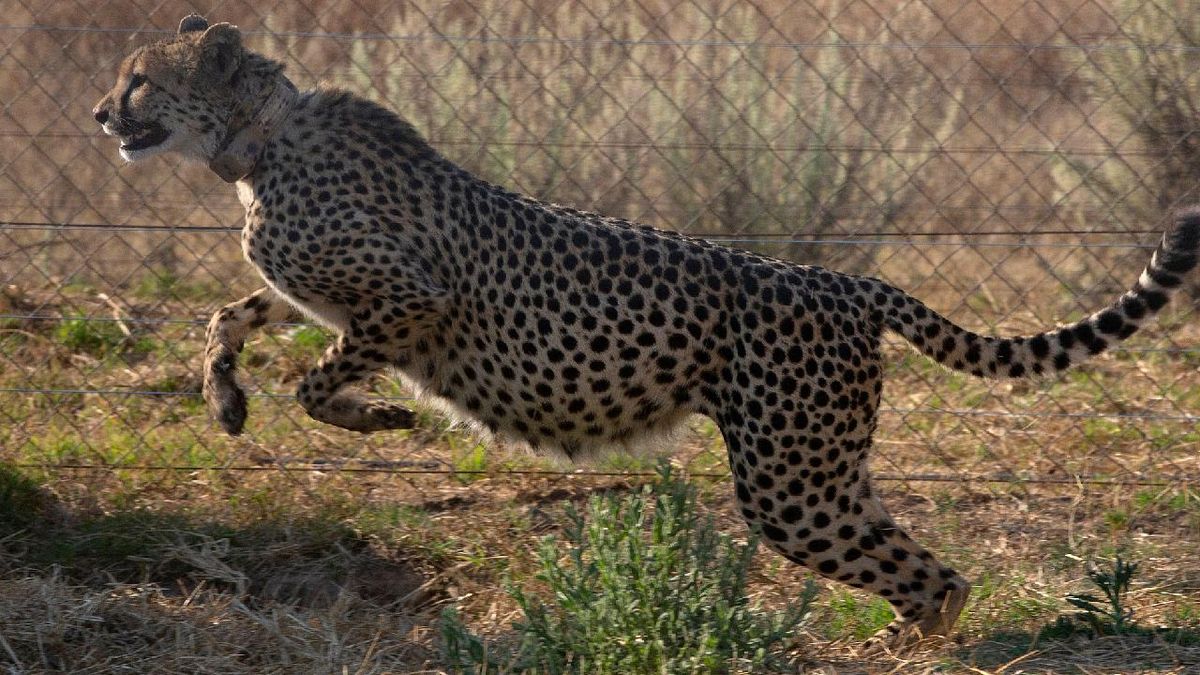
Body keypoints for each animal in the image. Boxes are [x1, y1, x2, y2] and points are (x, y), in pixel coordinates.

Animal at [93, 15, 1200, 649]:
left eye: (140, 79)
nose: (102, 115)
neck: (252, 143)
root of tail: (845, 279)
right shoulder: (322, 295)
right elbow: (232, 314)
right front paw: (225, 399)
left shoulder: (414, 301)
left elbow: (320, 379)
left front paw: (378, 423)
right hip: (826, 471)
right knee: (930, 569)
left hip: (791, 484)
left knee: (934, 575)